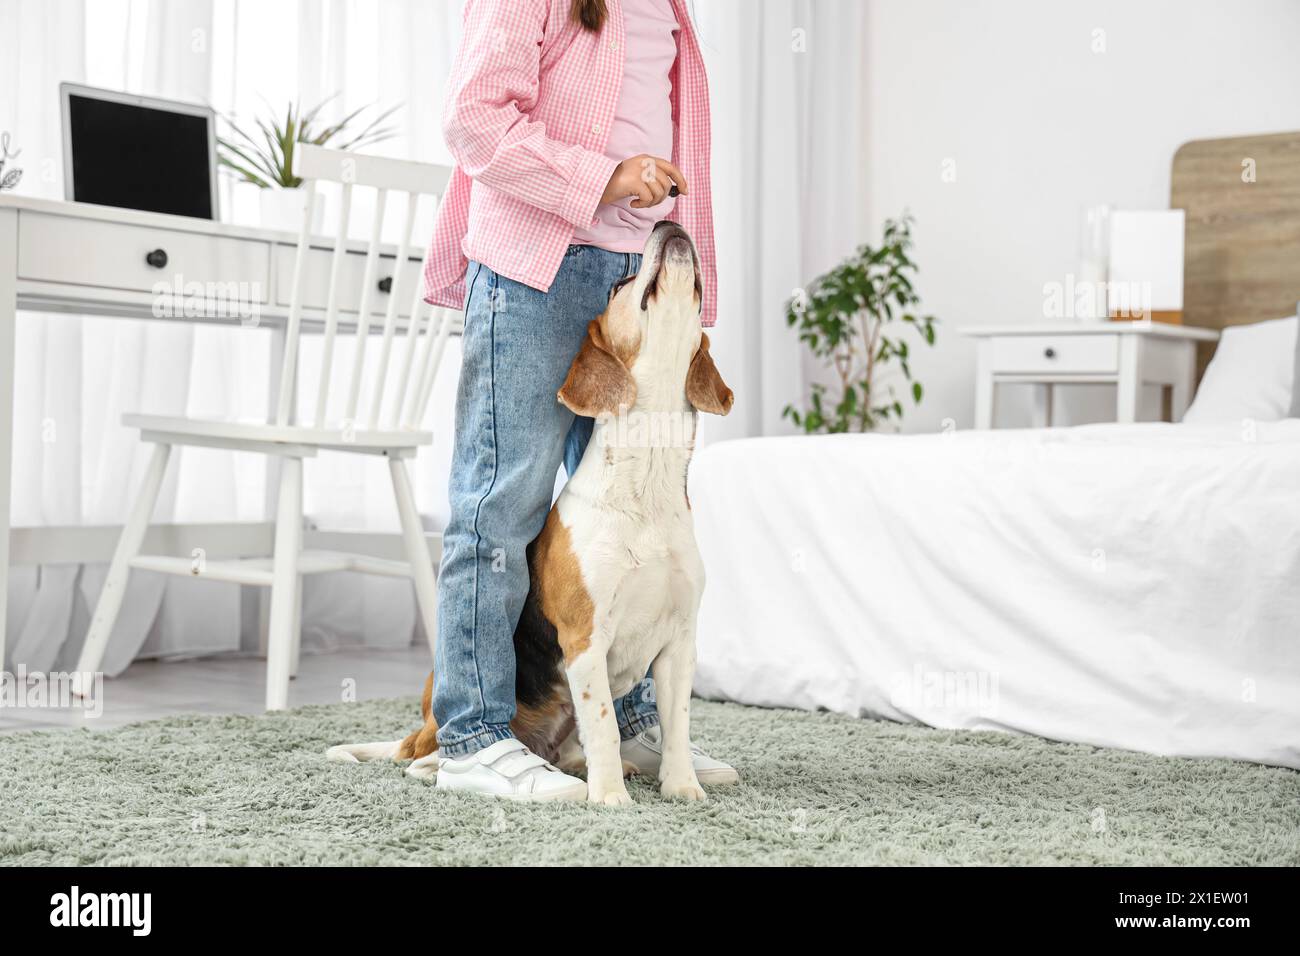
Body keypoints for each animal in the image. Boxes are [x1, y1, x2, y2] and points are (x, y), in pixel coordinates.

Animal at [325, 221, 733, 806]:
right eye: (620, 285)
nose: (669, 223)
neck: (644, 487)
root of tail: (422, 725)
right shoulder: (586, 641)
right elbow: (605, 725)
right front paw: (611, 800)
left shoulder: (679, 642)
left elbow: (675, 723)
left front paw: (682, 787)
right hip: (448, 722)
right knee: (423, 759)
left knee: (566, 749)